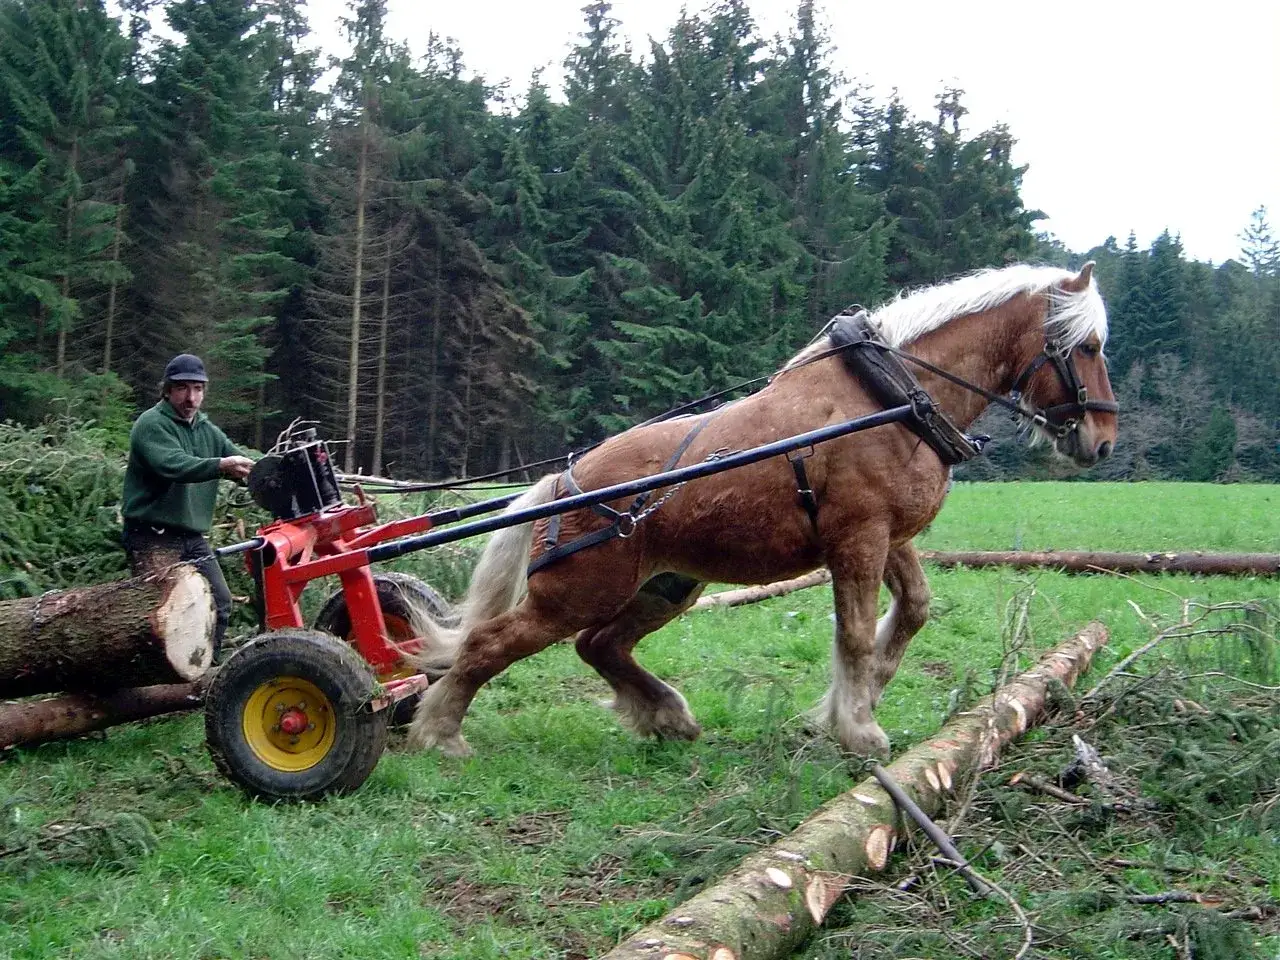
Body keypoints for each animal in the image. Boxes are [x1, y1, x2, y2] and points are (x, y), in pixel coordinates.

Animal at [405, 261, 1118, 760]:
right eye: (1088, 347)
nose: (1104, 440)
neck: (888, 398)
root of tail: (566, 478)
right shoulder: (859, 540)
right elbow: (855, 636)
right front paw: (858, 728)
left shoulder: (891, 538)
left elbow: (911, 613)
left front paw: (854, 704)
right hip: (579, 590)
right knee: (489, 643)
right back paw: (438, 733)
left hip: (668, 585)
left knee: (599, 644)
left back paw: (666, 714)